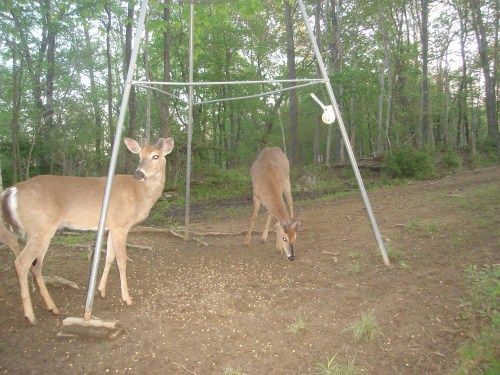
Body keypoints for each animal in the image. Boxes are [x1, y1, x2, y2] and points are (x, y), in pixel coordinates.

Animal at [0, 137, 175, 324]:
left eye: (156, 156)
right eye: (139, 156)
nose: (139, 174)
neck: (139, 194)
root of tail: (12, 190)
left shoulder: (111, 226)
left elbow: (109, 257)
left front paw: (101, 290)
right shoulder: (121, 224)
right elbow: (121, 260)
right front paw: (127, 298)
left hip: (40, 231)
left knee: (35, 265)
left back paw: (52, 308)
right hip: (41, 228)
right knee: (21, 262)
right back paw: (31, 315)